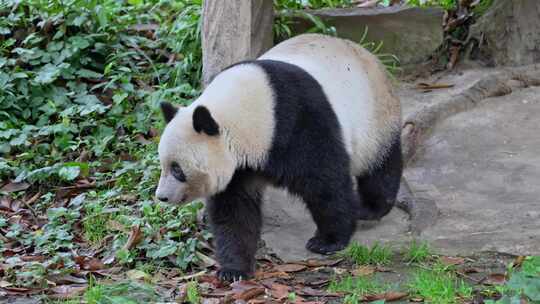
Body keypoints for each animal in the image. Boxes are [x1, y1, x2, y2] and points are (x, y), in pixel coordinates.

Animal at [155, 32, 400, 280]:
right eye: (164, 165)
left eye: (177, 169)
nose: (161, 196)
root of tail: (371, 55)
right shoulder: (239, 168)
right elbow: (234, 211)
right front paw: (234, 269)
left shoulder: (299, 122)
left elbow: (326, 183)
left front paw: (327, 240)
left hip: (376, 117)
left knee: (380, 166)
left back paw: (370, 208)